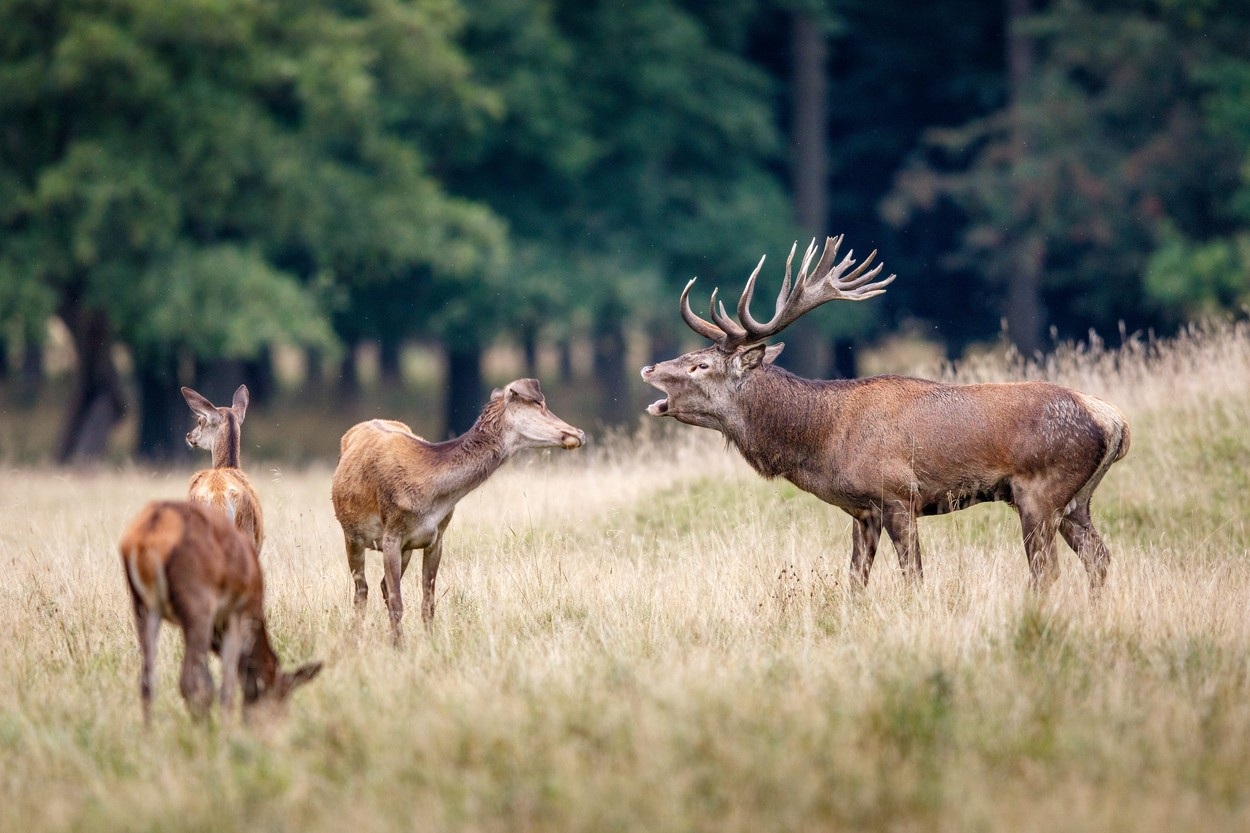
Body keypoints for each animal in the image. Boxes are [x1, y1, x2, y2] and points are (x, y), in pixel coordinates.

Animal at [118, 500, 322, 720]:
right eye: (280, 695)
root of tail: (150, 535)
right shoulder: (237, 615)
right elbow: (228, 682)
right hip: (198, 606)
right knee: (191, 681)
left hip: (143, 606)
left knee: (147, 680)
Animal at [332, 377, 585, 640]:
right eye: (540, 405)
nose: (579, 433)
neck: (429, 496)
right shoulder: (392, 534)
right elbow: (397, 602)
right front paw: (399, 645)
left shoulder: (436, 537)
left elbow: (428, 602)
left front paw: (430, 641)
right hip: (351, 535)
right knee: (362, 590)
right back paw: (355, 636)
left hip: (405, 549)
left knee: (381, 585)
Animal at [640, 231, 1130, 590]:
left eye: (701, 365)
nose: (648, 368)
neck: (823, 440)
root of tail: (1115, 422)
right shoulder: (863, 511)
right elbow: (855, 582)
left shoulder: (898, 495)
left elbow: (914, 578)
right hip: (1075, 501)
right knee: (1100, 559)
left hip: (1040, 492)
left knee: (1048, 572)